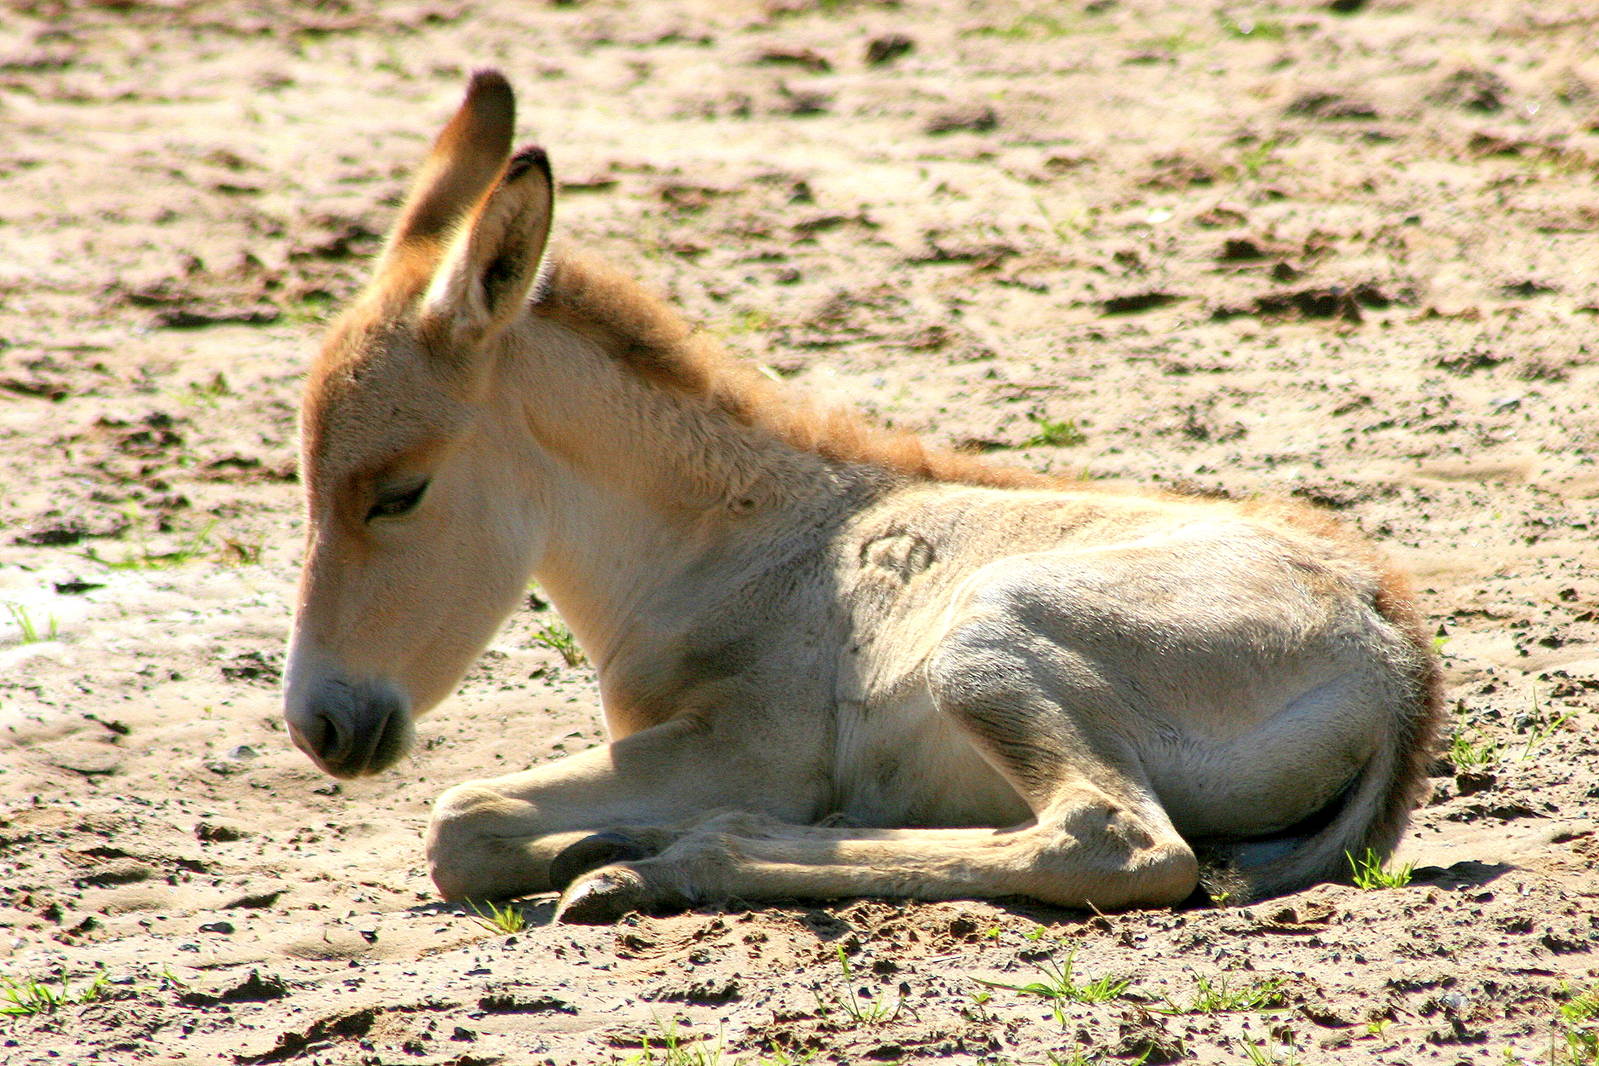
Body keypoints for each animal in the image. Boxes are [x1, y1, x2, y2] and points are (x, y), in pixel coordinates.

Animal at [283, 70, 1441, 923]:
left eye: (397, 493)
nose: (319, 725)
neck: (725, 540)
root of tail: (1394, 653)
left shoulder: (747, 747)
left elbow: (458, 818)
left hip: (986, 636)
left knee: (1114, 843)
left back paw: (663, 859)